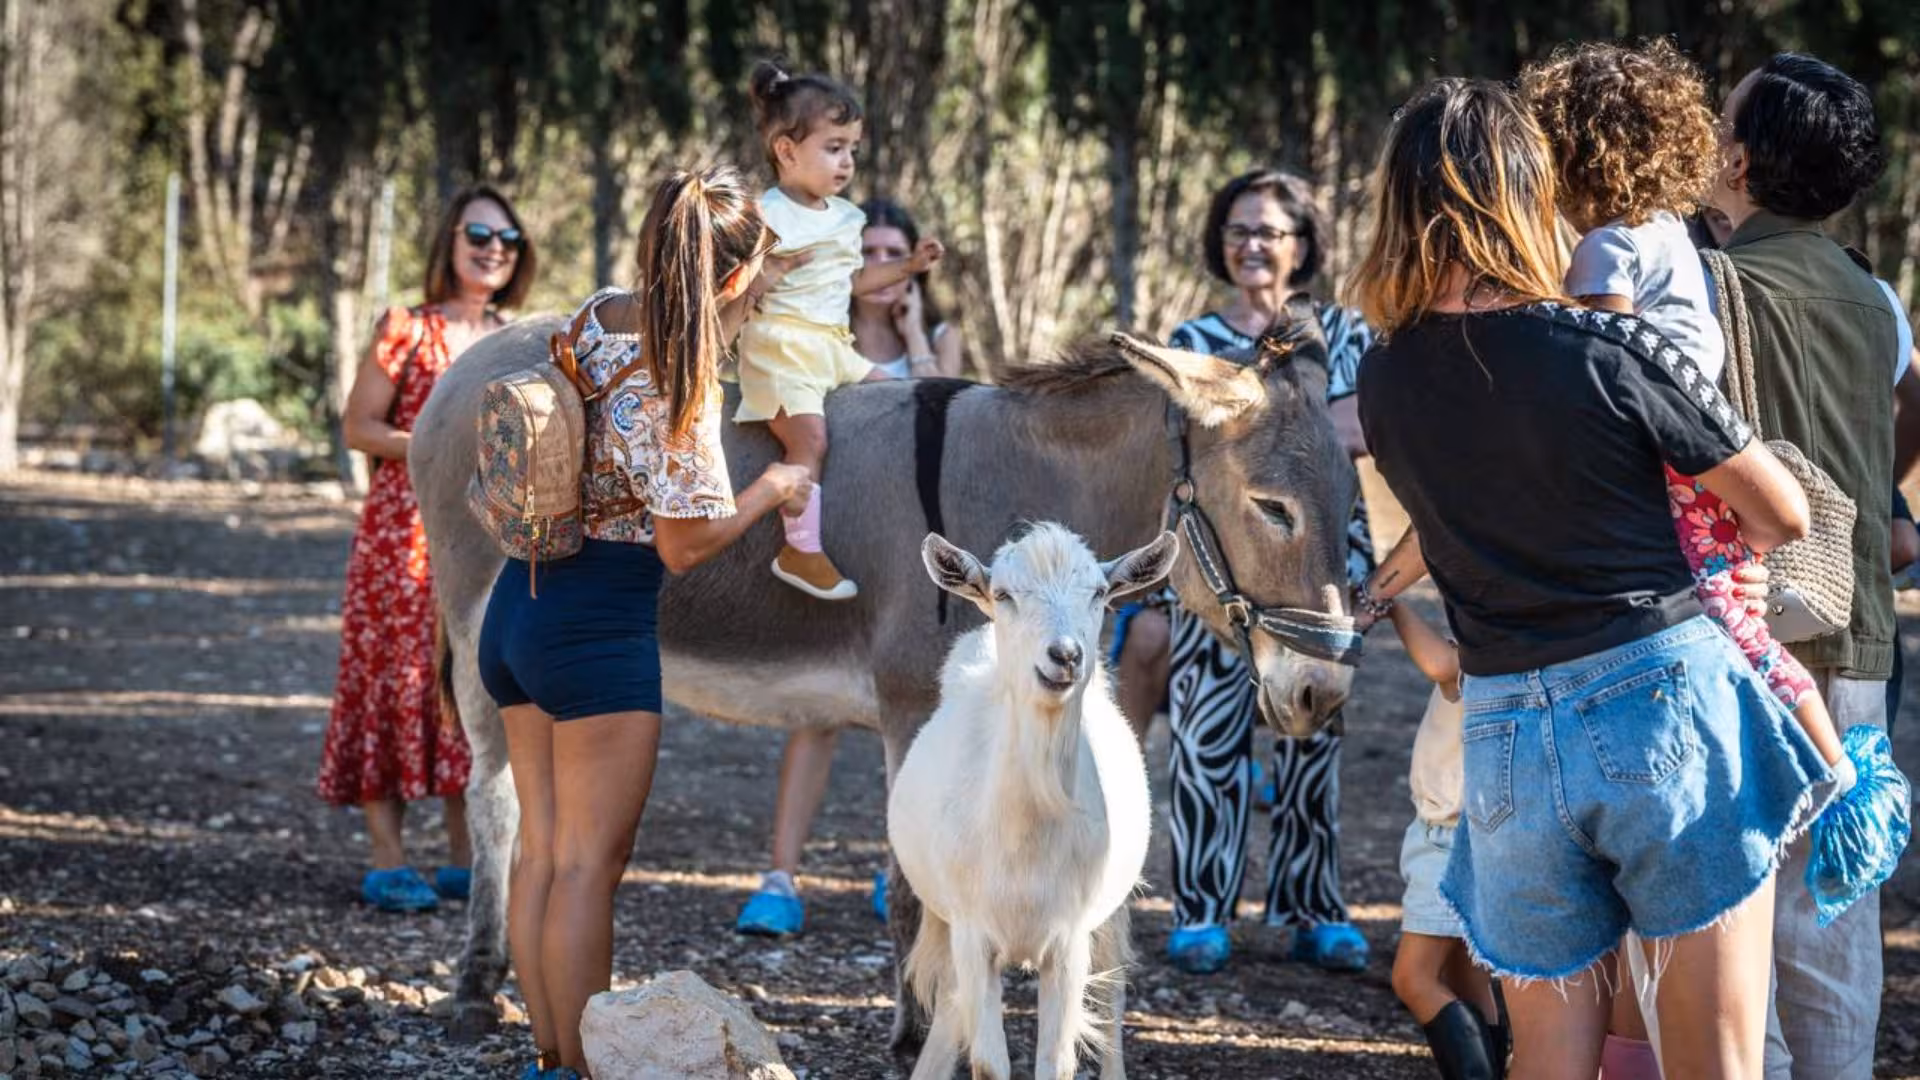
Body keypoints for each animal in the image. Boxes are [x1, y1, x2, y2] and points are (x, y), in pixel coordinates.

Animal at [889, 523, 1178, 1080]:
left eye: (1099, 593)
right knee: (951, 1003)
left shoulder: (1070, 938)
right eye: (1003, 593)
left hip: (1110, 913)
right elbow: (988, 1061)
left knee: (1112, 995)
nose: (1064, 655)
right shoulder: (972, 931)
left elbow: (1056, 1060)